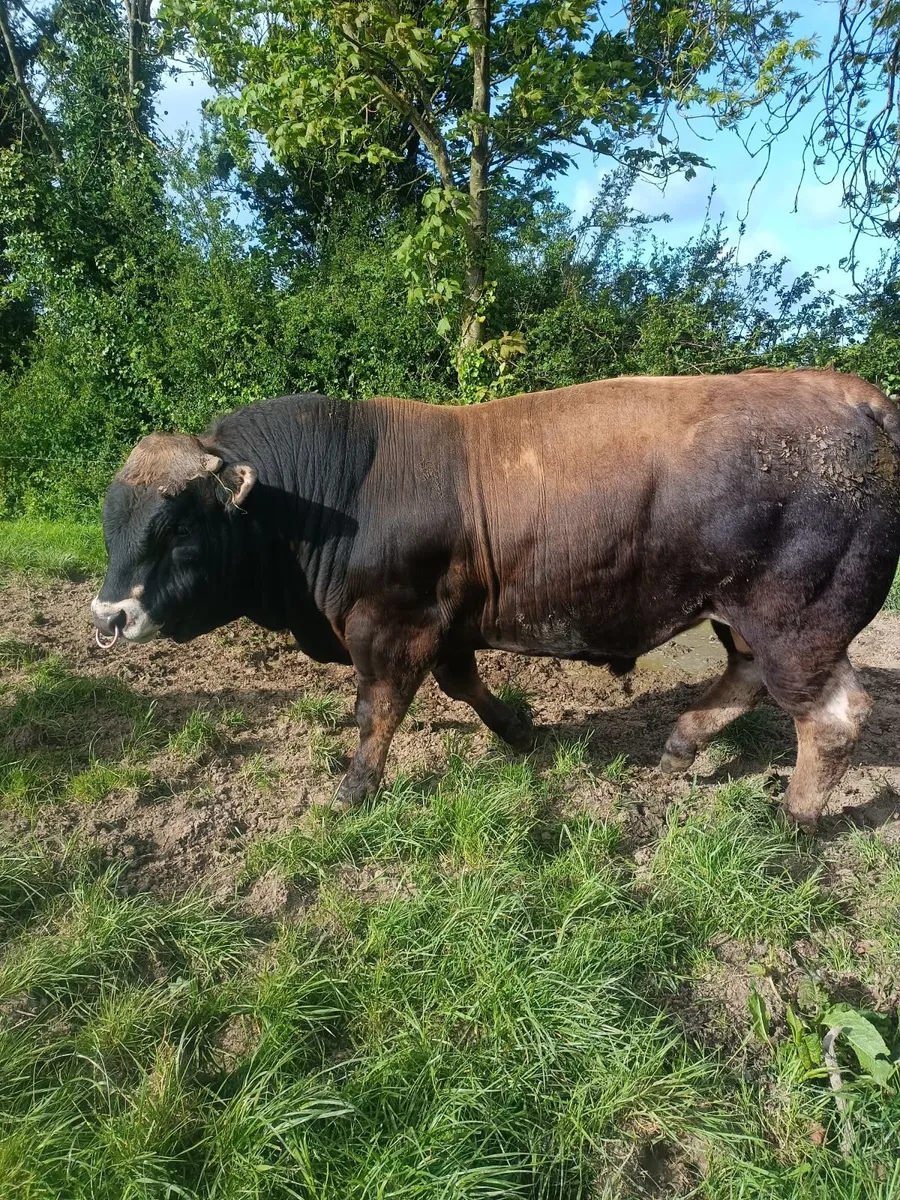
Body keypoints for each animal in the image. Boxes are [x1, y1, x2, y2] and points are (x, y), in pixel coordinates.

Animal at [91, 369, 900, 831]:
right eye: (111, 519)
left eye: (179, 527)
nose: (107, 618)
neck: (343, 489)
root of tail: (857, 396)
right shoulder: (445, 624)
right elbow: (462, 684)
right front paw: (517, 727)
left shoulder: (392, 625)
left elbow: (377, 708)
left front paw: (354, 789)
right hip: (748, 616)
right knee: (747, 677)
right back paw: (680, 746)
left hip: (797, 619)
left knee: (831, 717)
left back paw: (795, 816)